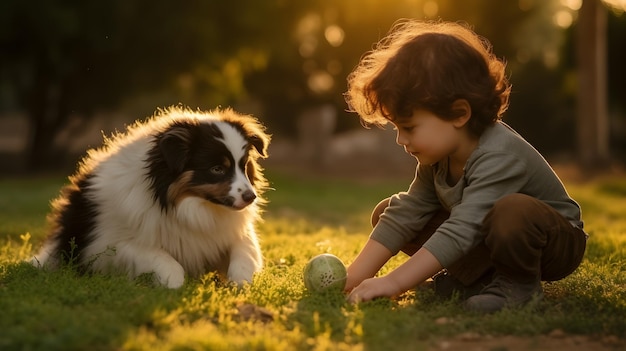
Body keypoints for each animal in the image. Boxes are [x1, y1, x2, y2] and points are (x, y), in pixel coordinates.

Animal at [31, 107, 270, 288]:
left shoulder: (232, 233)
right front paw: (174, 286)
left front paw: (240, 283)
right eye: (217, 169)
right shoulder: (109, 246)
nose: (250, 197)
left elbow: (244, 254)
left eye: (244, 166)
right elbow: (164, 260)